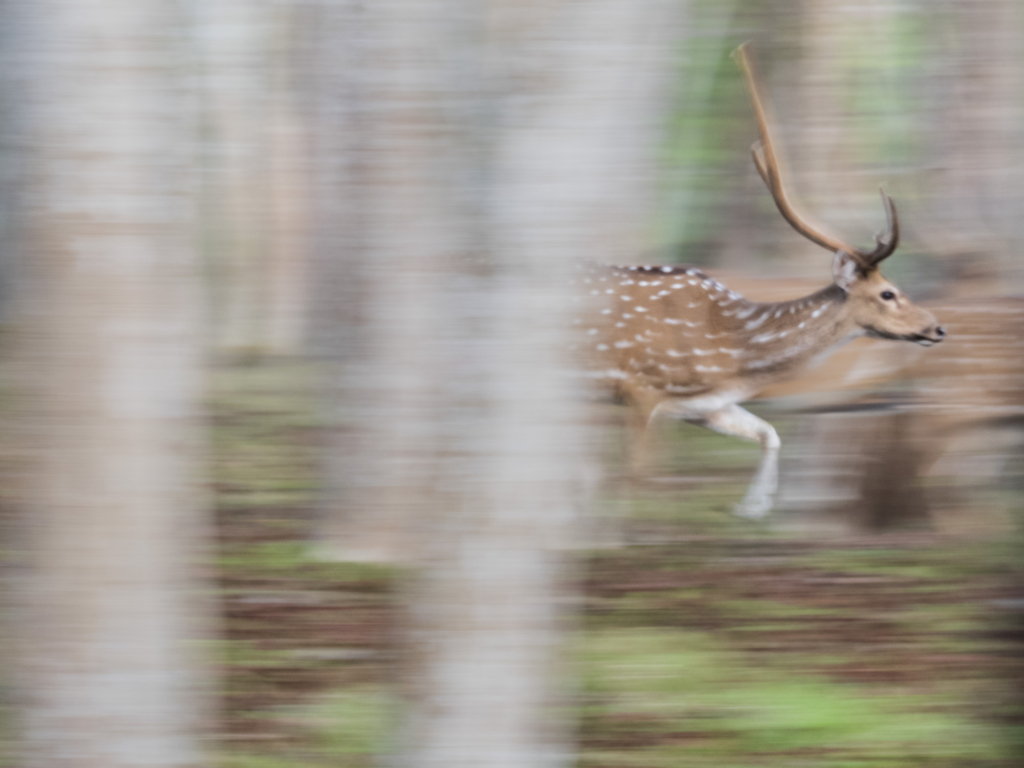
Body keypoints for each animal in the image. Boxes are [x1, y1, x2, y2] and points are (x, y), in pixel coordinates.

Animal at [577, 45, 942, 520]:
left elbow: (770, 433)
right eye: (888, 292)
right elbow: (632, 478)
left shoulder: (703, 406)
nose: (938, 327)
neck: (738, 350)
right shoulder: (640, 388)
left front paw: (753, 508)